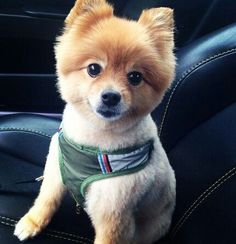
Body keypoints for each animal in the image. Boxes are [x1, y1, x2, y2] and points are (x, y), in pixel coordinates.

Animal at [13, 0, 175, 244]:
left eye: (135, 77)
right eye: (93, 69)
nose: (111, 96)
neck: (92, 137)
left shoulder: (114, 211)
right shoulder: (56, 168)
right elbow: (47, 198)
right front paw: (32, 222)